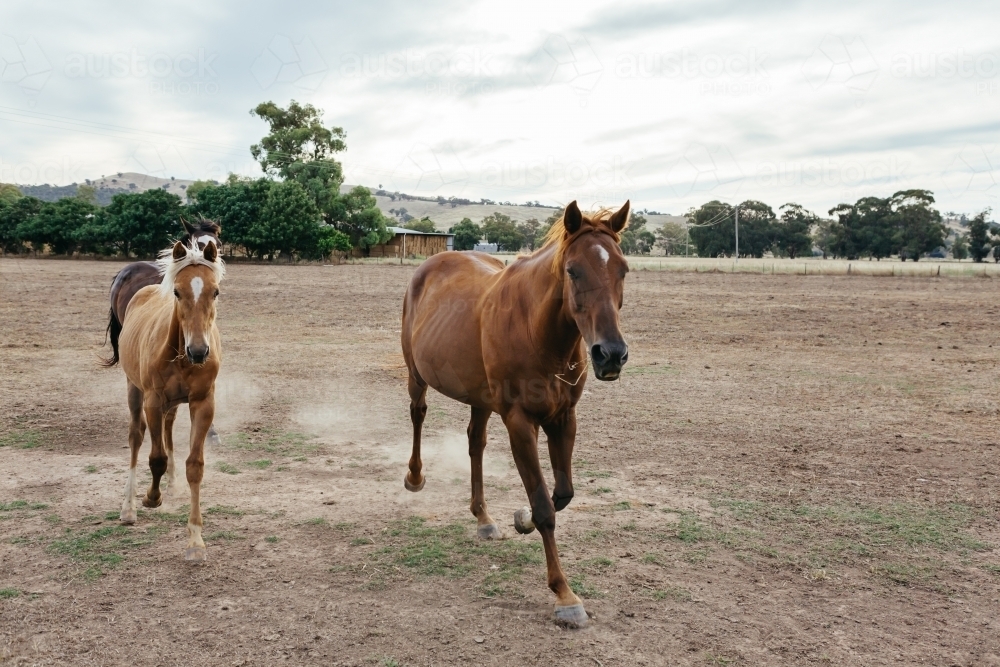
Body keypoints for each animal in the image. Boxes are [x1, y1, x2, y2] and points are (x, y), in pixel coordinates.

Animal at [117, 238, 225, 562]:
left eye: (215, 291)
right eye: (177, 292)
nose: (199, 351)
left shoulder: (203, 403)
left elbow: (195, 466)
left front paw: (196, 540)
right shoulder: (152, 400)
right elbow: (156, 458)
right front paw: (151, 497)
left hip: (174, 403)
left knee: (167, 429)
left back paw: (173, 484)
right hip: (134, 389)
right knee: (137, 436)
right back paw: (128, 508)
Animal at [401, 200, 630, 627]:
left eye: (622, 269)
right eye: (573, 270)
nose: (610, 354)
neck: (538, 331)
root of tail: (432, 263)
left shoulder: (563, 419)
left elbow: (562, 494)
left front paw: (519, 519)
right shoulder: (520, 423)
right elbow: (544, 507)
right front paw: (564, 595)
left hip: (479, 398)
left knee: (475, 443)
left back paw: (483, 517)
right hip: (416, 375)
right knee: (418, 414)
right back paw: (415, 477)